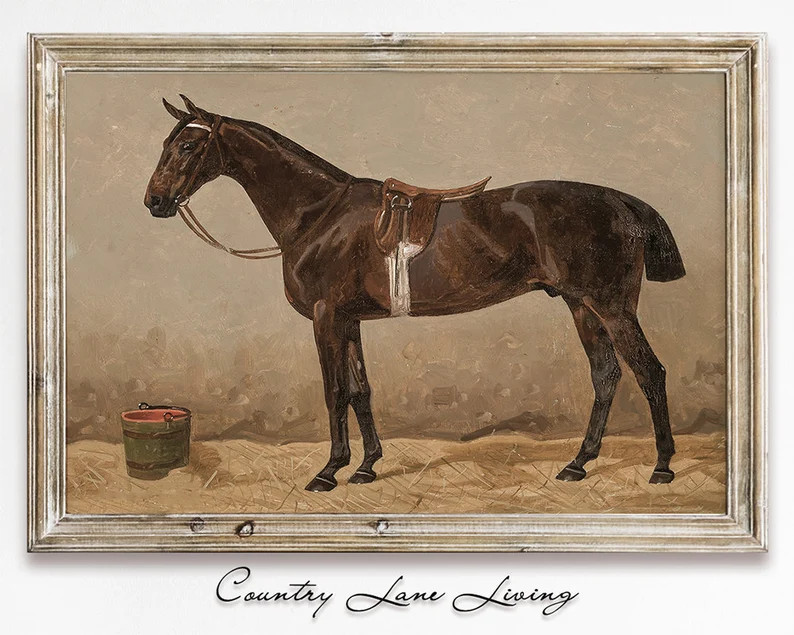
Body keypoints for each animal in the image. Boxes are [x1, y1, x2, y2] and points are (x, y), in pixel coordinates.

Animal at [144, 95, 686, 492]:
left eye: (188, 147)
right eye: (168, 143)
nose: (154, 201)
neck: (320, 215)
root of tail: (624, 202)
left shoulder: (325, 316)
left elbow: (334, 392)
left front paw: (329, 471)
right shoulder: (349, 320)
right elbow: (361, 391)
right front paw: (366, 466)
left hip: (612, 307)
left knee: (649, 372)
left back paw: (662, 467)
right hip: (581, 305)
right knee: (606, 375)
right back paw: (578, 464)